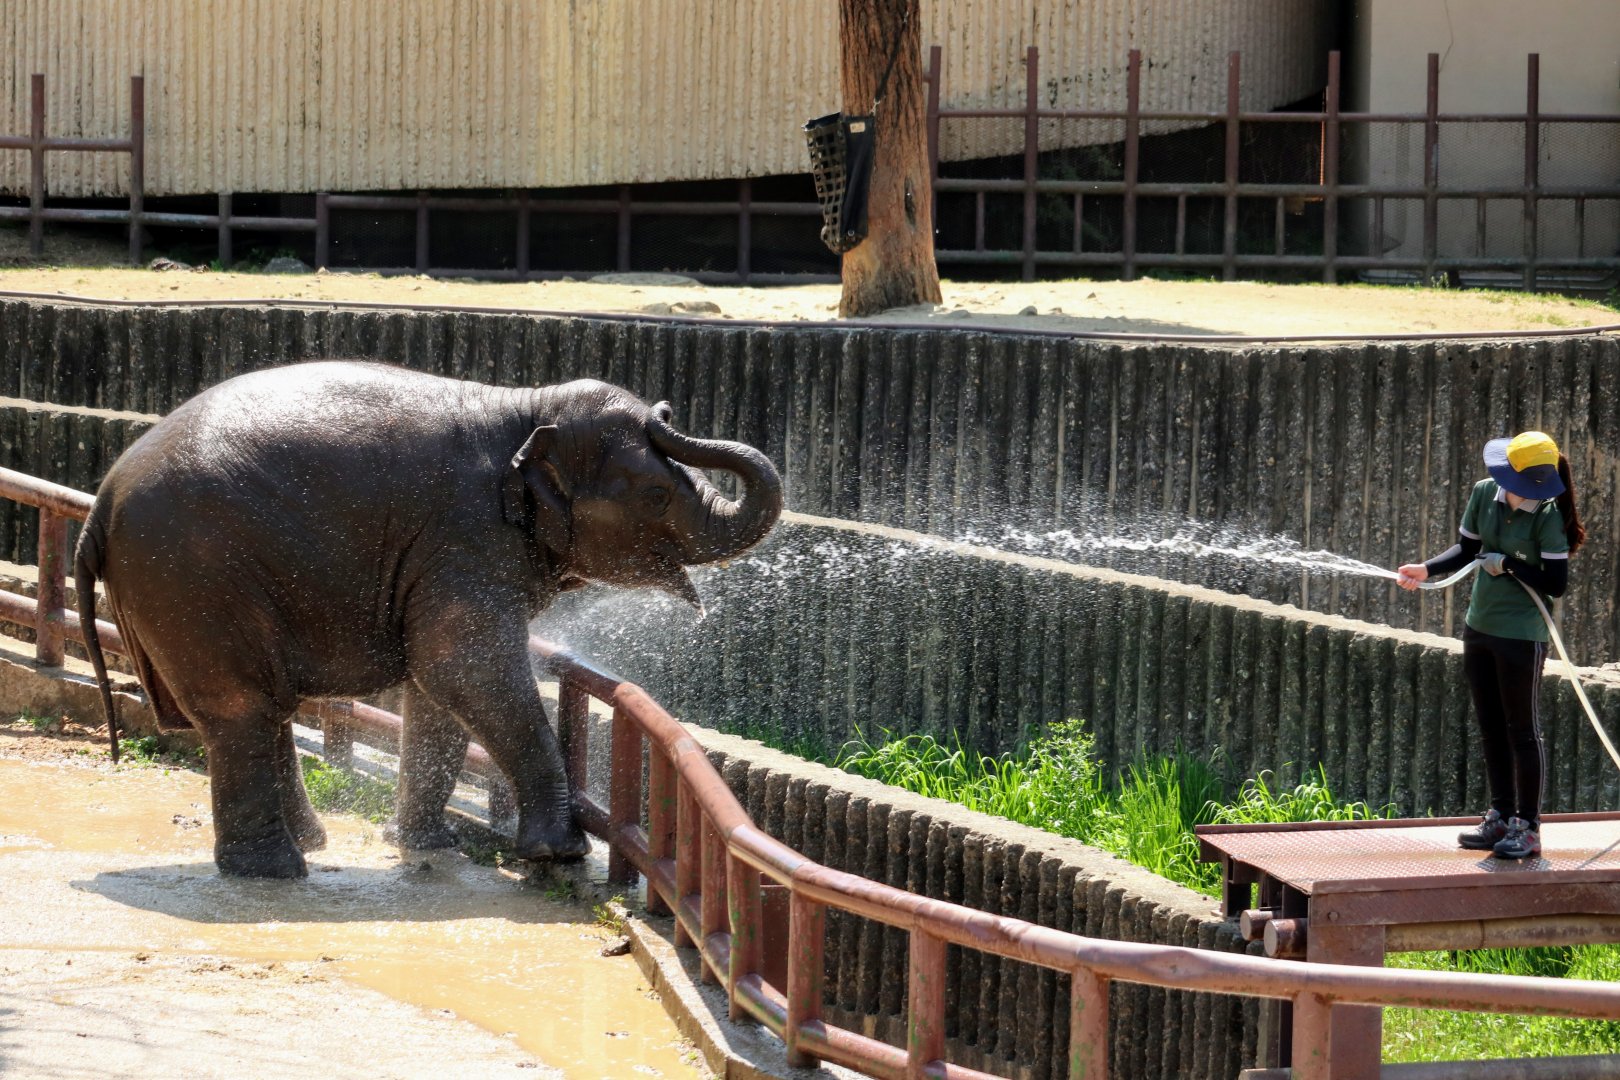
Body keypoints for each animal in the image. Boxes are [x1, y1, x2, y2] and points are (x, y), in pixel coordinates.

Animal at [74, 360, 783, 878]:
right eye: (657, 494)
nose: (664, 412)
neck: (526, 409)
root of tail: (97, 510)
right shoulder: (466, 538)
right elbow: (463, 666)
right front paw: (560, 853)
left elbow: (437, 683)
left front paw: (428, 847)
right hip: (191, 579)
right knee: (241, 708)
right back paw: (275, 872)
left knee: (265, 706)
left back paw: (310, 846)